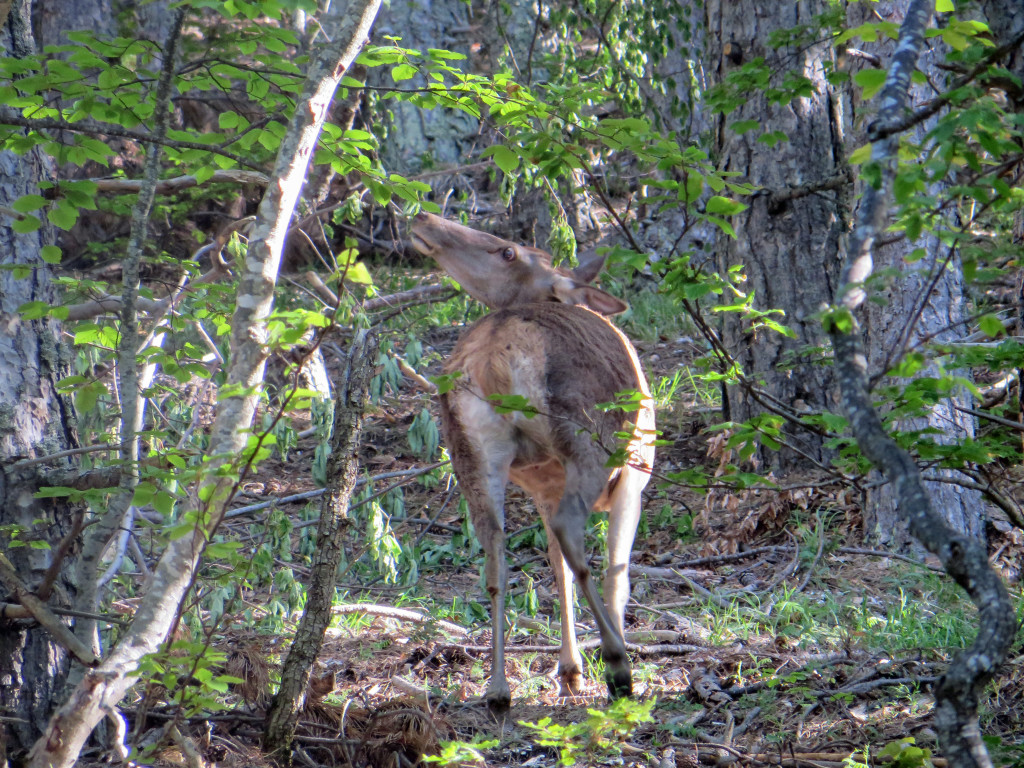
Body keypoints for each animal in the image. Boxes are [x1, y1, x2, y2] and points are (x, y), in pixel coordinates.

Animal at [407, 214, 655, 712]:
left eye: (508, 251)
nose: (423, 217)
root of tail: (494, 356)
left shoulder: (543, 486)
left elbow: (556, 569)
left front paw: (570, 670)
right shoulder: (633, 478)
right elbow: (617, 573)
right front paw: (592, 664)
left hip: (472, 452)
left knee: (495, 557)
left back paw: (498, 688)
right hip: (589, 440)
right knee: (571, 532)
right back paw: (618, 664)